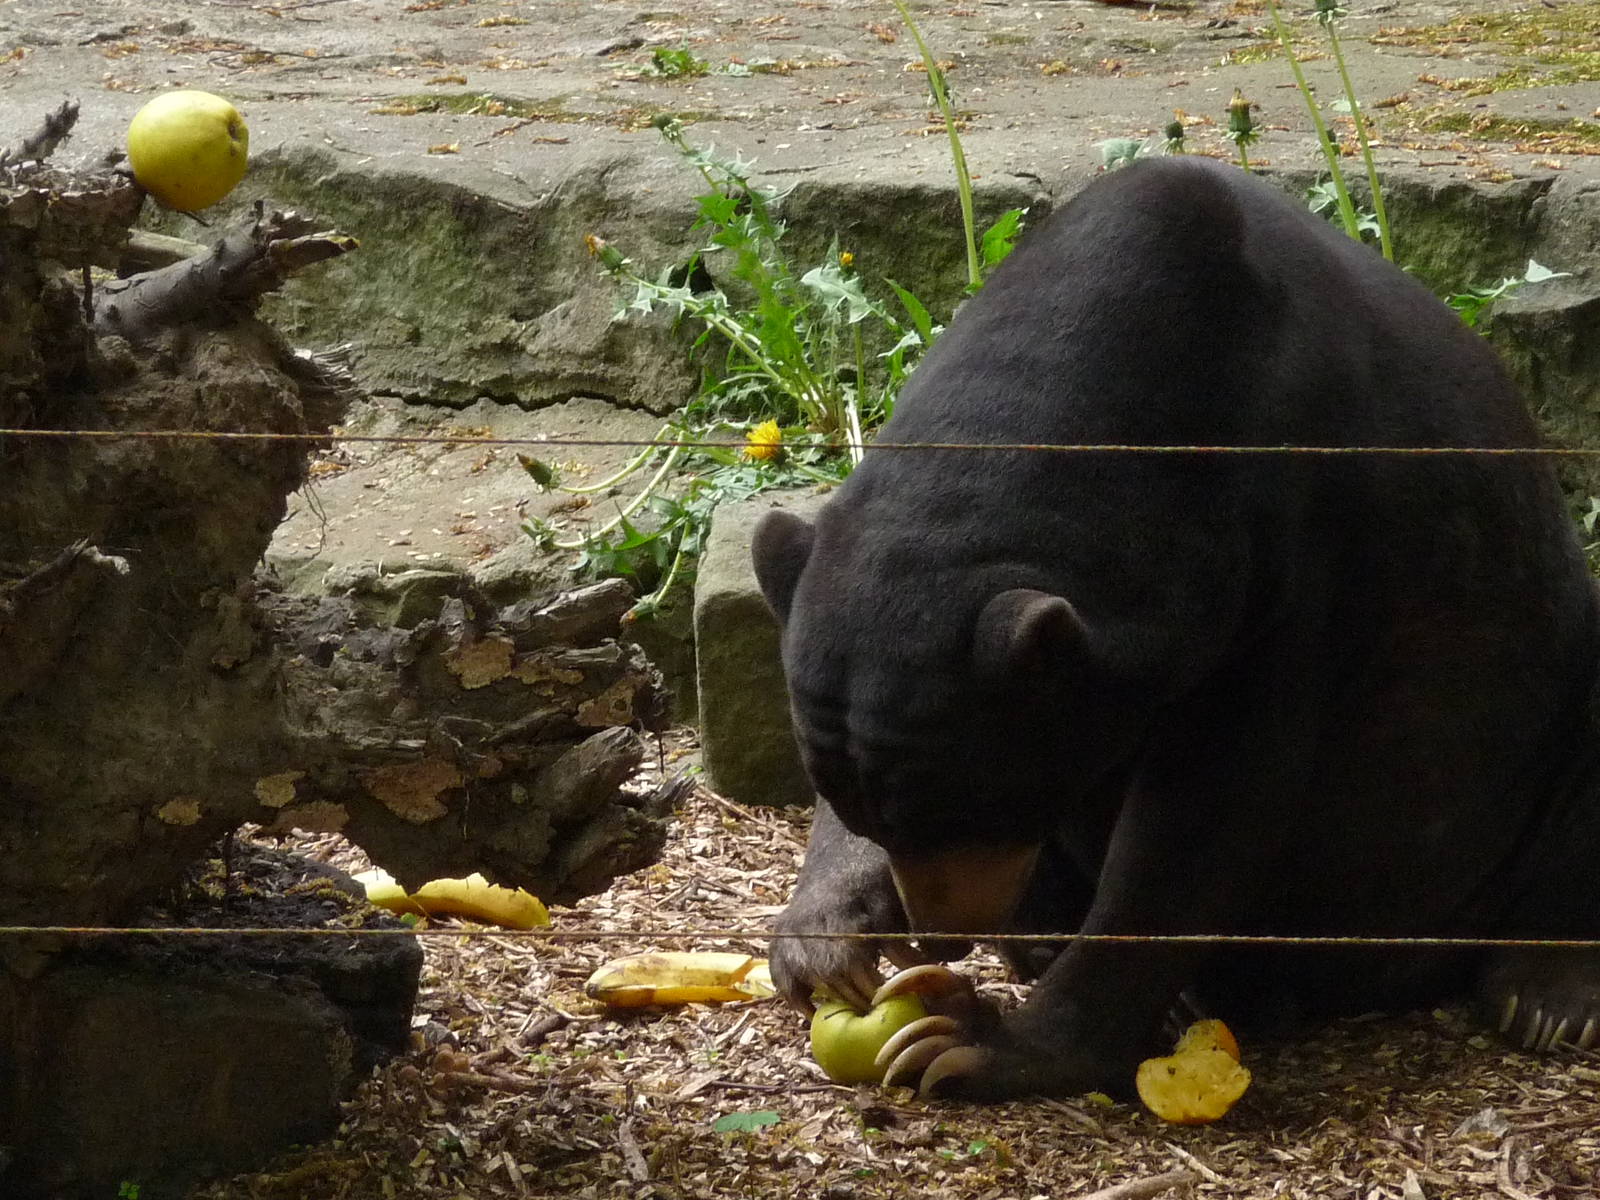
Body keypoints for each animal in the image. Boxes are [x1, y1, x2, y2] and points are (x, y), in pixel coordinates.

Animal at [750, 155, 1600, 1101]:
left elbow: (1206, 814)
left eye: (990, 803)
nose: (942, 933)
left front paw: (972, 1044)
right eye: (872, 813)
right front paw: (828, 945)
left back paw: (1547, 995)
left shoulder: (1293, 566)